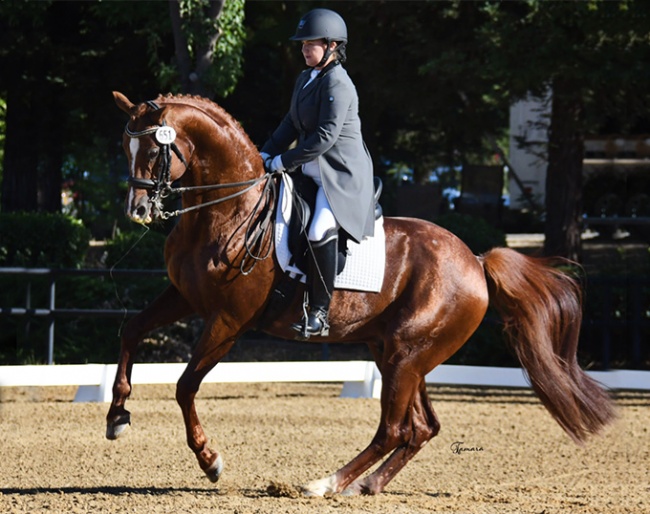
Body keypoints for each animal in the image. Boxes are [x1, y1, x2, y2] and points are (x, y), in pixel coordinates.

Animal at [107, 91, 612, 492]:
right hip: (397, 354)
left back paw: (325, 484)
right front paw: (116, 418)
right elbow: (131, 332)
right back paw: (366, 486)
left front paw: (210, 460)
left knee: (394, 429)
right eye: (124, 146)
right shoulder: (186, 298)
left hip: (407, 354)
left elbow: (185, 385)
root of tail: (475, 260)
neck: (229, 209)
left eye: (153, 147)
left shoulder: (228, 321)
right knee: (420, 428)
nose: (137, 210)